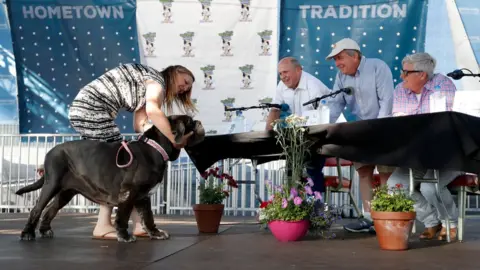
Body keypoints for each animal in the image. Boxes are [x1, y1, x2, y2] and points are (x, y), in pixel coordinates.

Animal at [15, 114, 204, 243]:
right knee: (36, 209)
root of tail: (50, 151)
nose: (199, 121)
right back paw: (27, 233)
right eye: (189, 122)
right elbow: (123, 216)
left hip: (66, 192)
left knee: (50, 210)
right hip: (51, 184)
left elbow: (148, 217)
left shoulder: (144, 196)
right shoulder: (128, 193)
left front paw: (155, 233)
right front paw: (124, 236)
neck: (155, 149)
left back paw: (45, 231)